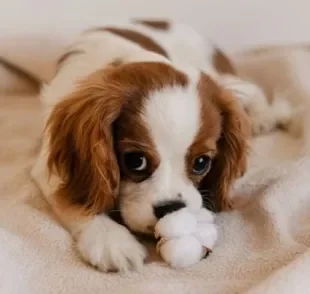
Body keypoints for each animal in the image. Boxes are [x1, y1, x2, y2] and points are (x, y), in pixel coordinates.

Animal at [30, 19, 249, 272]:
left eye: (201, 162)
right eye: (135, 161)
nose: (170, 208)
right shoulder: (48, 166)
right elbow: (72, 199)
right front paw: (110, 239)